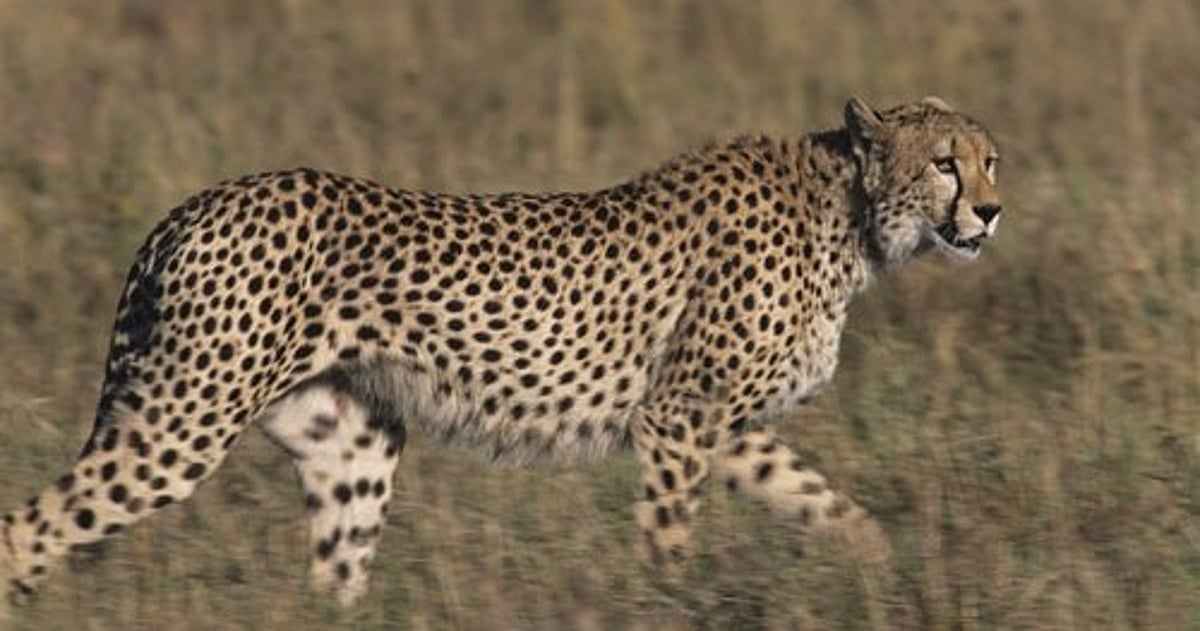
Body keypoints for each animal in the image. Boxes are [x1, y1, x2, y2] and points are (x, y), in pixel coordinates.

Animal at [0, 96, 1001, 614]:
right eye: (945, 163)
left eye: (992, 159)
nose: (991, 212)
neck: (852, 215)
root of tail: (195, 202)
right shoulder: (680, 416)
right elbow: (671, 537)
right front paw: (671, 600)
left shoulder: (720, 423)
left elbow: (825, 500)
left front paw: (882, 566)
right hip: (183, 425)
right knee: (30, 527)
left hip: (348, 445)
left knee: (331, 580)